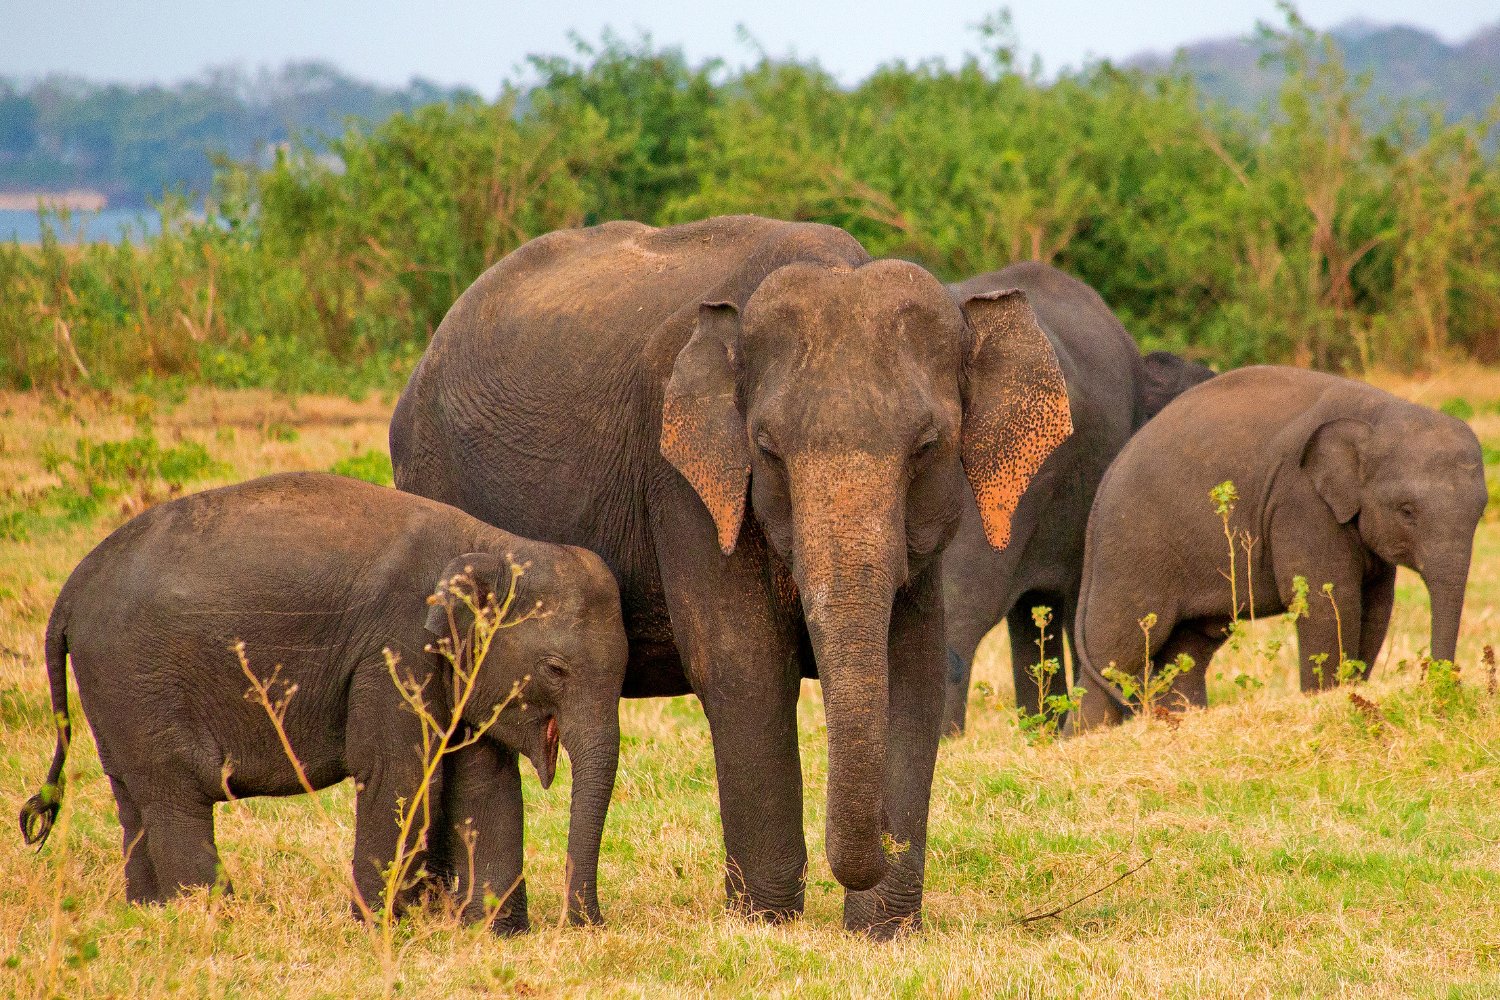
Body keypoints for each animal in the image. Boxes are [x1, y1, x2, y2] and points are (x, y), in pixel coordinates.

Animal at [18, 472, 627, 933]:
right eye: (556, 668)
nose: (587, 923)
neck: (493, 544)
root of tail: (69, 593)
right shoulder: (397, 648)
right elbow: (400, 773)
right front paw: (378, 928)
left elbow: (485, 780)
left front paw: (492, 934)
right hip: (135, 674)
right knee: (174, 790)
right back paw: (213, 915)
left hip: (113, 687)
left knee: (132, 793)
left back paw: (150, 911)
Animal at [388, 215, 1072, 937]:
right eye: (767, 448)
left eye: (927, 446)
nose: (864, 863)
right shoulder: (685, 485)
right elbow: (745, 667)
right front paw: (766, 923)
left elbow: (911, 669)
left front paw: (882, 933)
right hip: (434, 479)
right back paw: (453, 917)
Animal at [1070, 366, 1488, 730]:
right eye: (1407, 511)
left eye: (1482, 509)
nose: (1440, 688)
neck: (1379, 411)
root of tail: (1101, 492)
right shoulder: (1300, 501)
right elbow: (1328, 601)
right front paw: (1328, 700)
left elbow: (1376, 607)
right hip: (1131, 551)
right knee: (1119, 651)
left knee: (1187, 650)